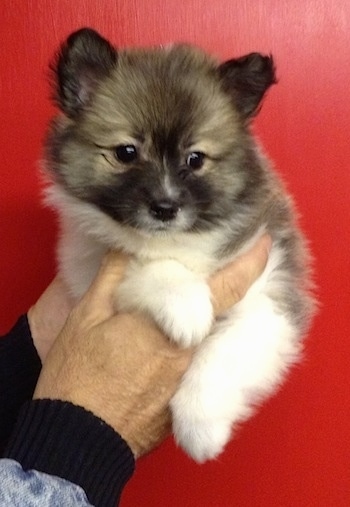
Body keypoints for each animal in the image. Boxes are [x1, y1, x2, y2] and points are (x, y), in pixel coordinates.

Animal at [43, 27, 314, 464]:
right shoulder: (86, 263)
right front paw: (186, 304)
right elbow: (146, 267)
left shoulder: (268, 298)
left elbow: (220, 355)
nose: (165, 207)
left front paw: (200, 428)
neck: (175, 239)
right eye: (126, 152)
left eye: (195, 159)